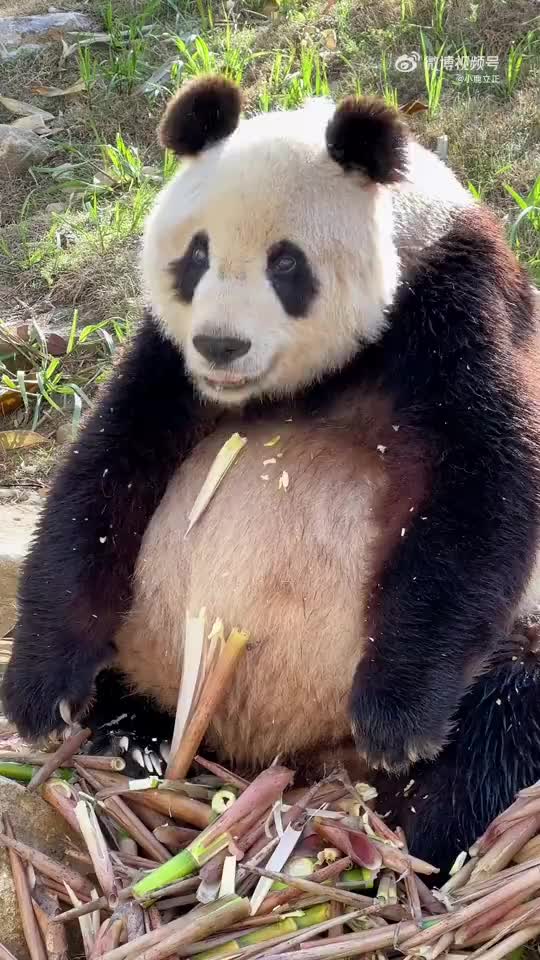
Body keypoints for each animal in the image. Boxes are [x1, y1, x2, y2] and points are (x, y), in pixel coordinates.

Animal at [3, 77, 540, 876]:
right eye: (195, 255)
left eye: (286, 265)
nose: (221, 345)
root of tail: (270, 757)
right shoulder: (168, 359)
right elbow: (106, 472)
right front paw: (41, 690)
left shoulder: (460, 302)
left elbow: (486, 483)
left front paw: (398, 717)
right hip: (150, 643)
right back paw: (134, 738)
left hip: (515, 643)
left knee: (502, 725)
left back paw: (417, 831)